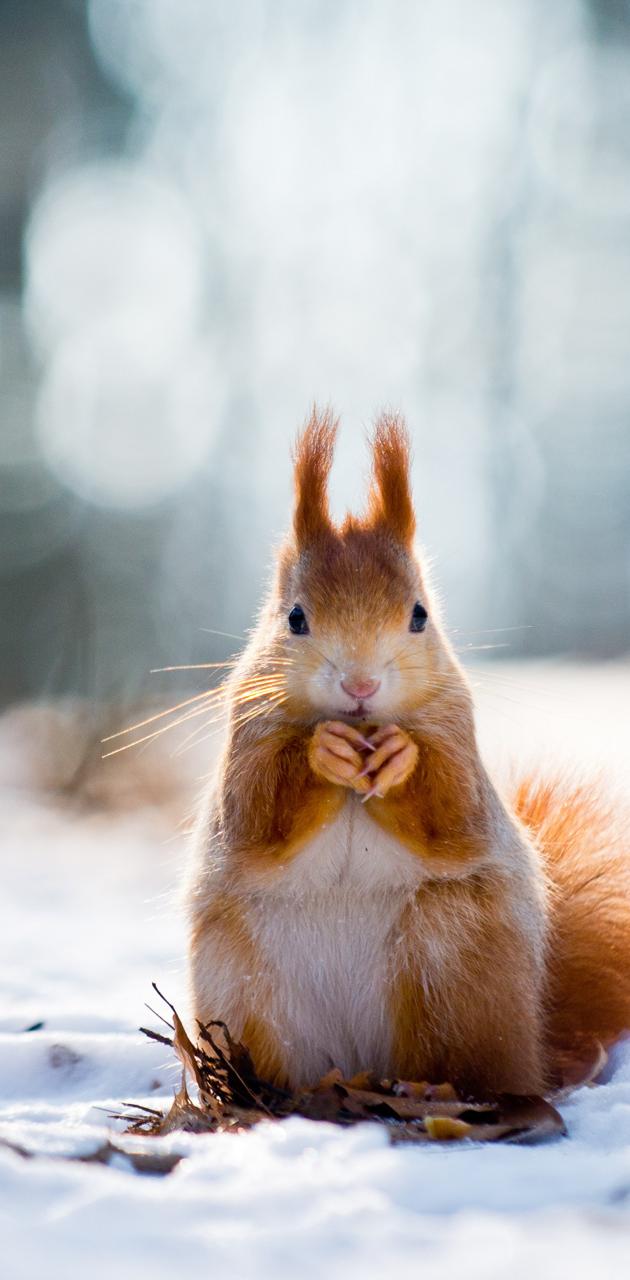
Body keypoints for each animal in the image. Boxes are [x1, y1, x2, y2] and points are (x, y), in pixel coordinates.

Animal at [187, 408, 630, 1097]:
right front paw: (322, 752)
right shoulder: (247, 735)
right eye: (294, 618)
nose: (360, 687)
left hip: (451, 961)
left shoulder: (457, 734)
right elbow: (257, 814)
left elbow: (451, 810)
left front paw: (401, 758)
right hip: (243, 985)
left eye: (420, 615)